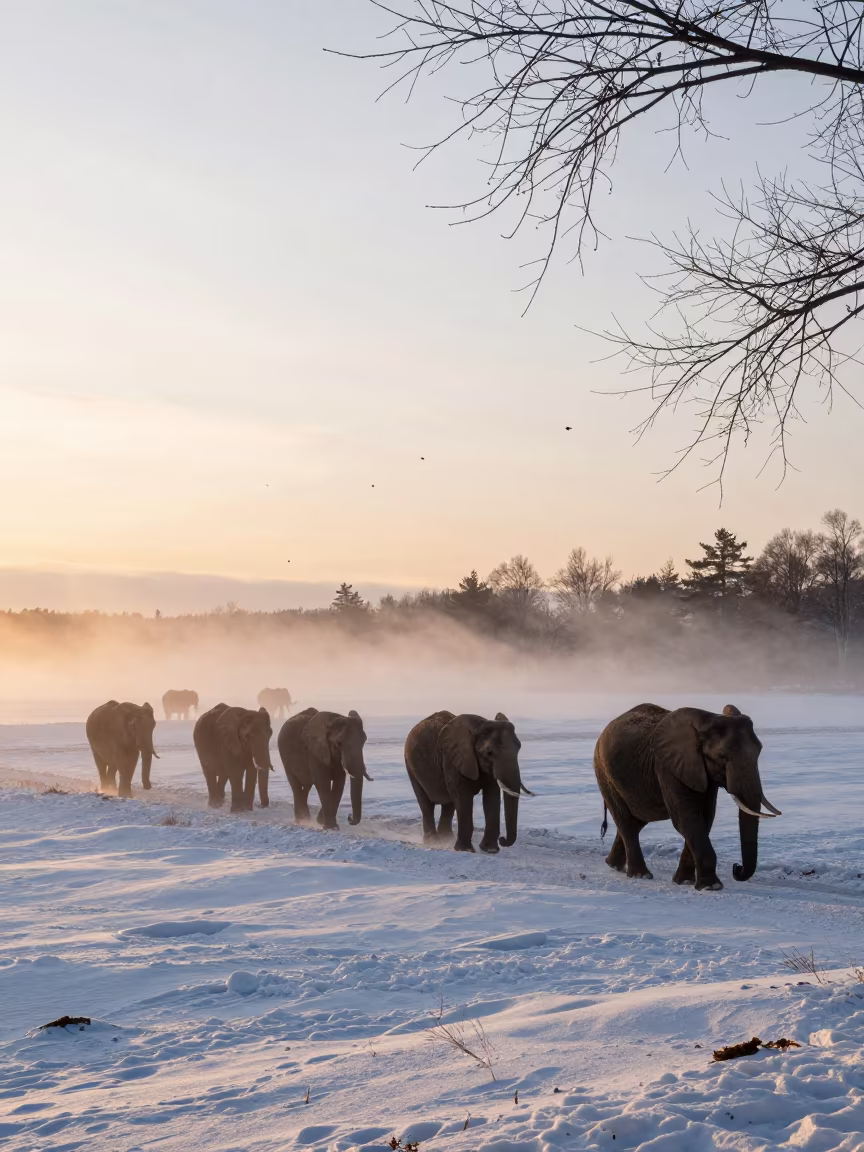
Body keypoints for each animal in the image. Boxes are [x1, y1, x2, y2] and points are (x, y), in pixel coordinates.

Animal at [404, 711, 533, 853]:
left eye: (519, 748)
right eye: (489, 752)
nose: (503, 839)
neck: (479, 726)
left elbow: (491, 796)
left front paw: (490, 850)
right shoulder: (452, 759)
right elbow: (463, 797)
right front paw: (465, 850)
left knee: (448, 804)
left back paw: (446, 839)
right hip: (410, 767)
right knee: (426, 803)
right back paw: (434, 842)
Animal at [594, 703, 782, 891]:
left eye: (759, 751)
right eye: (721, 757)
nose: (736, 867)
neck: (707, 720)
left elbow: (705, 818)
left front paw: (685, 882)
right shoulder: (667, 767)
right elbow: (687, 819)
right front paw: (711, 887)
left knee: (637, 821)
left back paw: (614, 866)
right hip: (604, 773)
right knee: (627, 823)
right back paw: (640, 875)